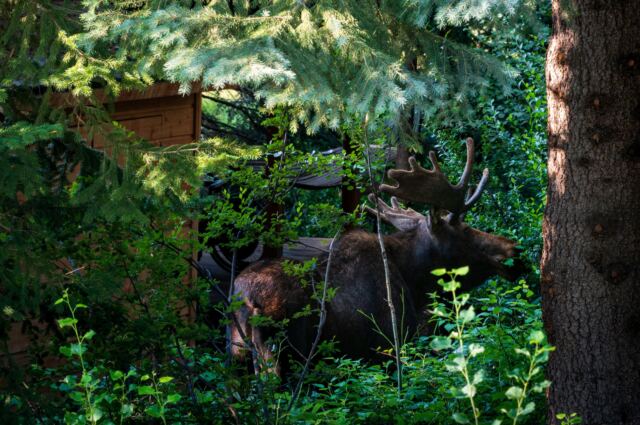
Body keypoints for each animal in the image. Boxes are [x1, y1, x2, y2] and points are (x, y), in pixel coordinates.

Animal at [229, 138, 523, 373]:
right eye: (464, 229)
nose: (514, 250)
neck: (415, 283)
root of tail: (247, 301)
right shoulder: (388, 349)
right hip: (281, 358)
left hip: (237, 359)